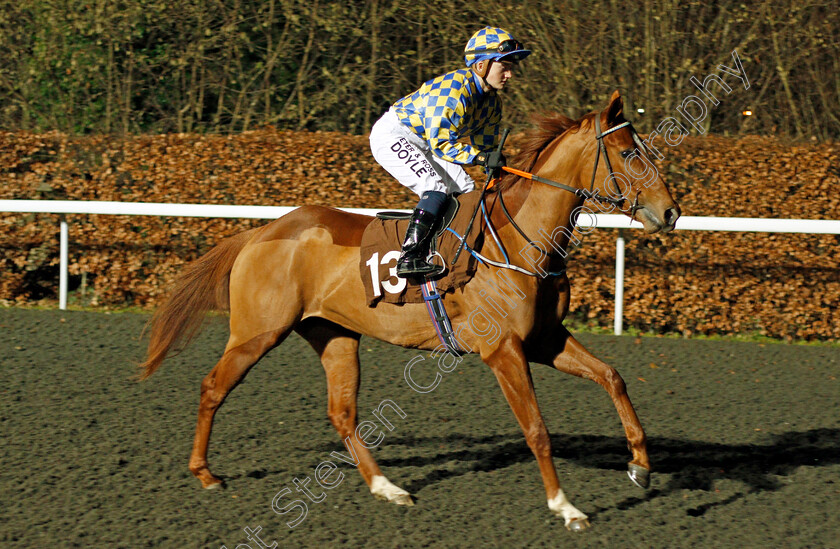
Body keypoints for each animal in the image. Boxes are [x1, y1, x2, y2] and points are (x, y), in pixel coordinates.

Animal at [136, 91, 676, 532]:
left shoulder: (544, 339)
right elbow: (537, 430)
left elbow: (612, 377)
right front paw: (566, 507)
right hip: (258, 332)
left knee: (342, 412)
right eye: (630, 153)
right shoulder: (503, 349)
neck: (521, 239)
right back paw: (205, 473)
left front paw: (640, 465)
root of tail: (261, 231)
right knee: (213, 387)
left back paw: (387, 488)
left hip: (333, 334)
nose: (670, 212)